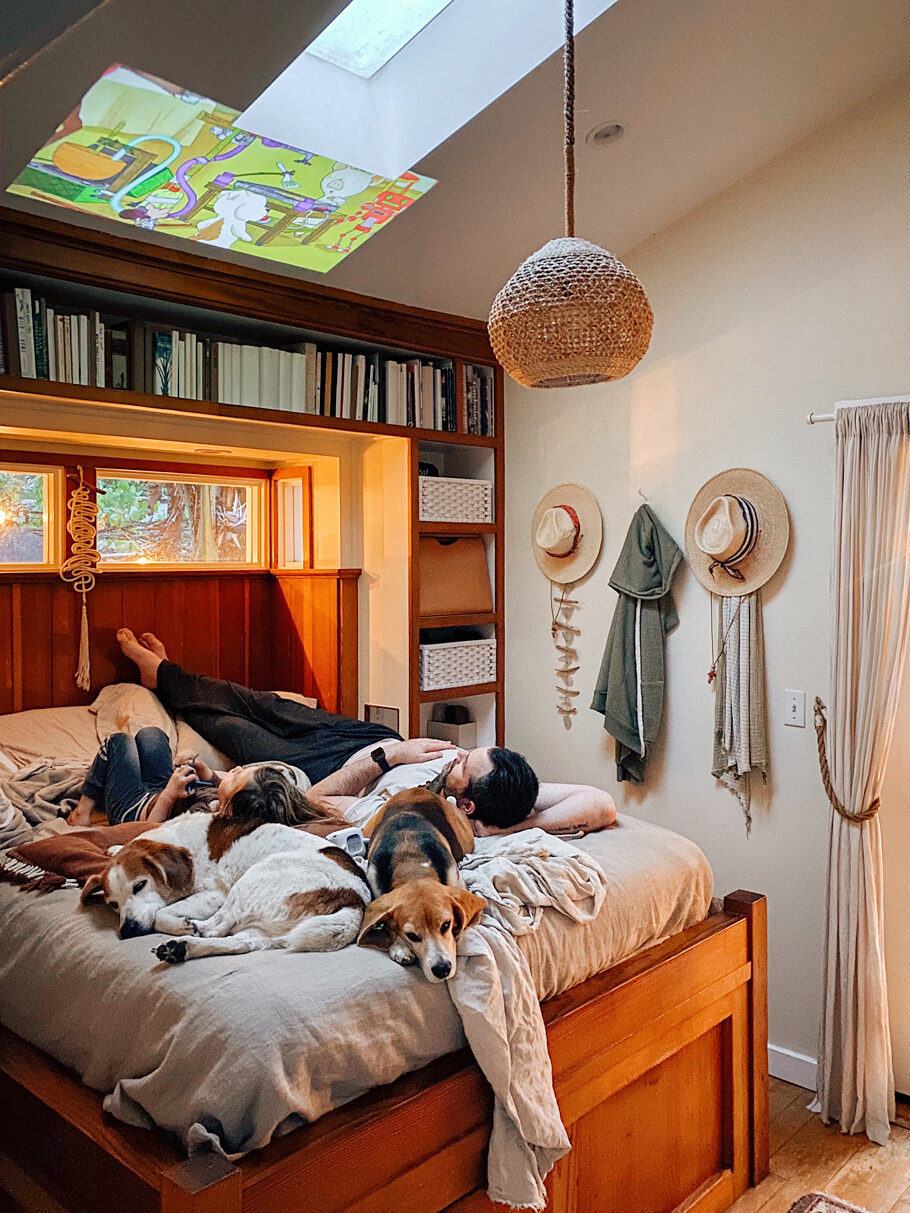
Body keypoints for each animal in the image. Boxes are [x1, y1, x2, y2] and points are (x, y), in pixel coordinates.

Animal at [80, 810, 371, 960]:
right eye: (112, 904)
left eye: (140, 885)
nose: (127, 931)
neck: (176, 839)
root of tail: (355, 901)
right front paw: (114, 848)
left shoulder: (214, 894)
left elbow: (160, 915)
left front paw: (182, 923)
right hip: (269, 932)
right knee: (240, 943)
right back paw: (181, 948)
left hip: (252, 879)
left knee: (216, 928)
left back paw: (189, 935)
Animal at [356, 790, 487, 980]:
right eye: (411, 935)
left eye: (446, 925)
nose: (442, 969)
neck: (410, 861)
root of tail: (417, 790)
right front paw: (399, 947)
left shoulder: (457, 882)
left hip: (464, 839)